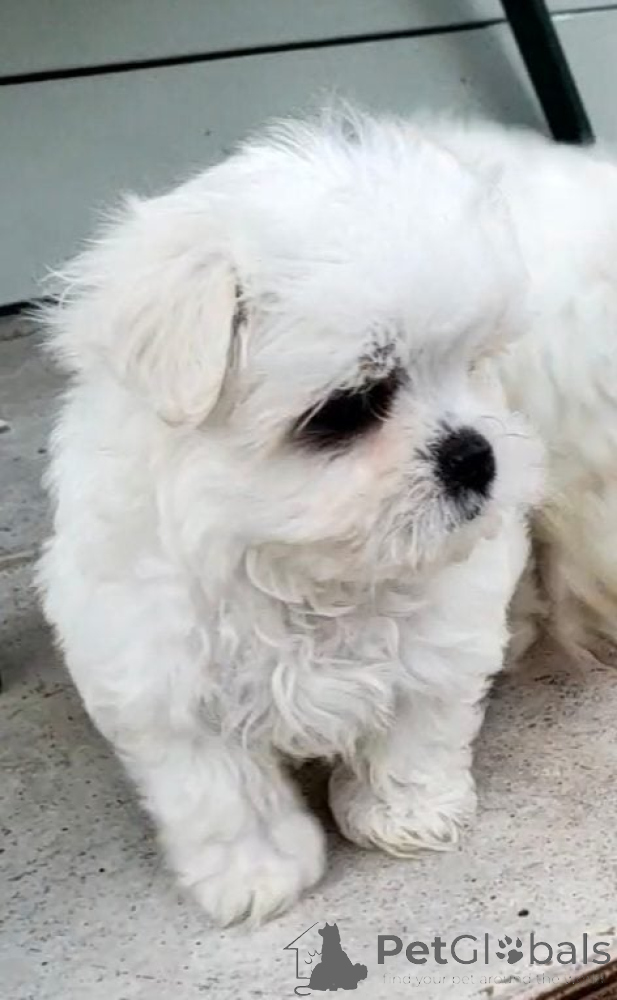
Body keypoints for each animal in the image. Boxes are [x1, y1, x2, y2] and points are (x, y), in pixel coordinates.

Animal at [38, 108, 617, 925]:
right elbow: (221, 790)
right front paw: (256, 874)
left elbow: (418, 723)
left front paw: (406, 814)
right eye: (349, 406)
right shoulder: (158, 672)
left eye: (473, 364)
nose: (475, 456)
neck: (297, 565)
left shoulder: (443, 627)